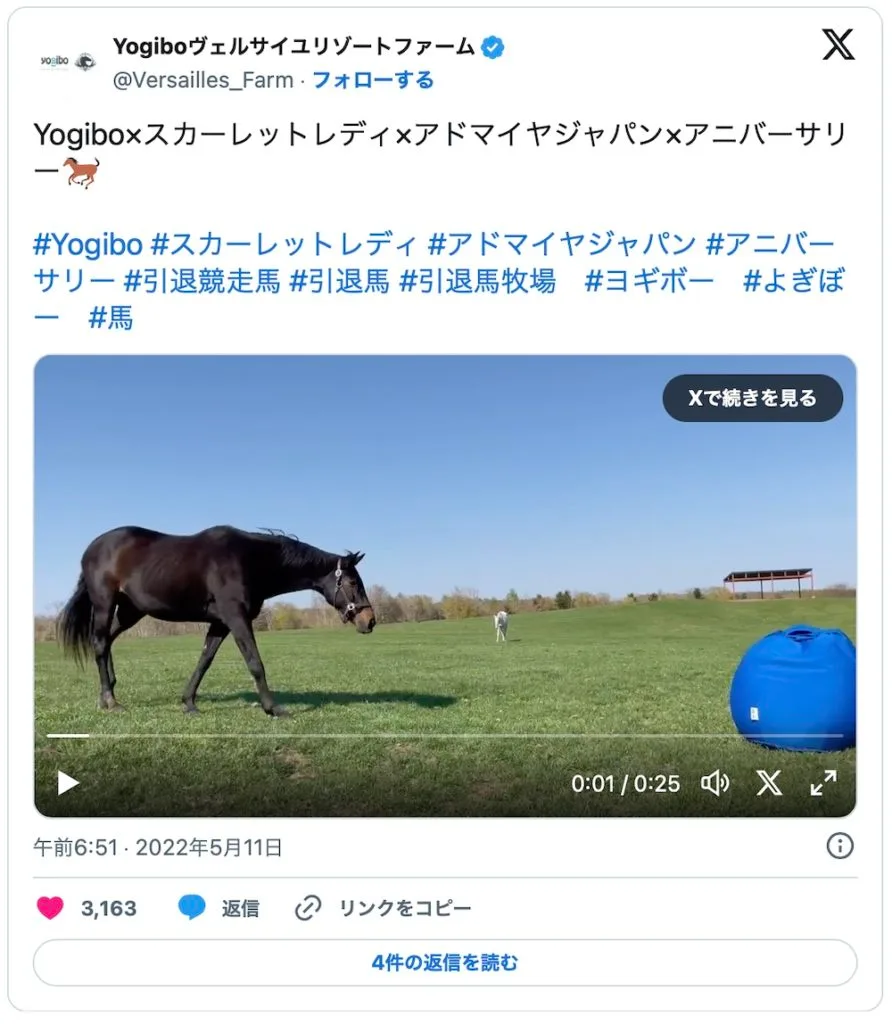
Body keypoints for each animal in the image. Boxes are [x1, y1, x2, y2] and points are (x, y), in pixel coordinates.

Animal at [56, 525, 376, 717]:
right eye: (352, 581)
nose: (369, 620)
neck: (247, 559)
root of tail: (93, 547)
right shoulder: (236, 618)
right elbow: (255, 662)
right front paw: (272, 708)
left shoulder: (221, 623)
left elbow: (204, 660)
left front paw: (189, 703)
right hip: (105, 604)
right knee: (99, 643)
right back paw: (110, 700)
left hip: (130, 611)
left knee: (107, 640)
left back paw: (107, 691)